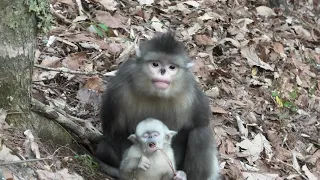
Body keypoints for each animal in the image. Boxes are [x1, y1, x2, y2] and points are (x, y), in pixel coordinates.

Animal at [95, 31, 220, 179]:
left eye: (172, 67)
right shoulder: (119, 88)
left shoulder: (191, 93)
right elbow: (114, 131)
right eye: (155, 64)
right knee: (103, 147)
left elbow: (201, 124)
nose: (162, 71)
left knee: (200, 134)